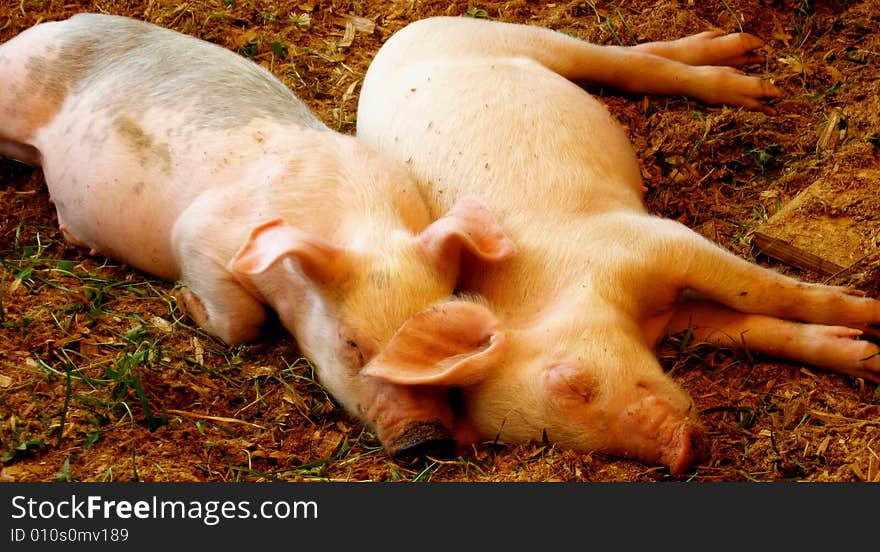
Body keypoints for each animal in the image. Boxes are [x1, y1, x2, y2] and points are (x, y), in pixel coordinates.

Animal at [1, 14, 516, 462]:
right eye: (351, 344)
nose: (426, 440)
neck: (362, 220)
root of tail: (60, 24)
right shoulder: (198, 236)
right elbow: (242, 322)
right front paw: (187, 300)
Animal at [354, 17, 880, 474]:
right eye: (559, 441)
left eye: (571, 383)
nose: (681, 454)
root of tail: (391, 45)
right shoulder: (673, 316)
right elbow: (751, 329)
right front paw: (863, 356)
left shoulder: (658, 241)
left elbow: (763, 290)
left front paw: (866, 311)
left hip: (503, 36)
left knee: (621, 61)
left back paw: (753, 79)